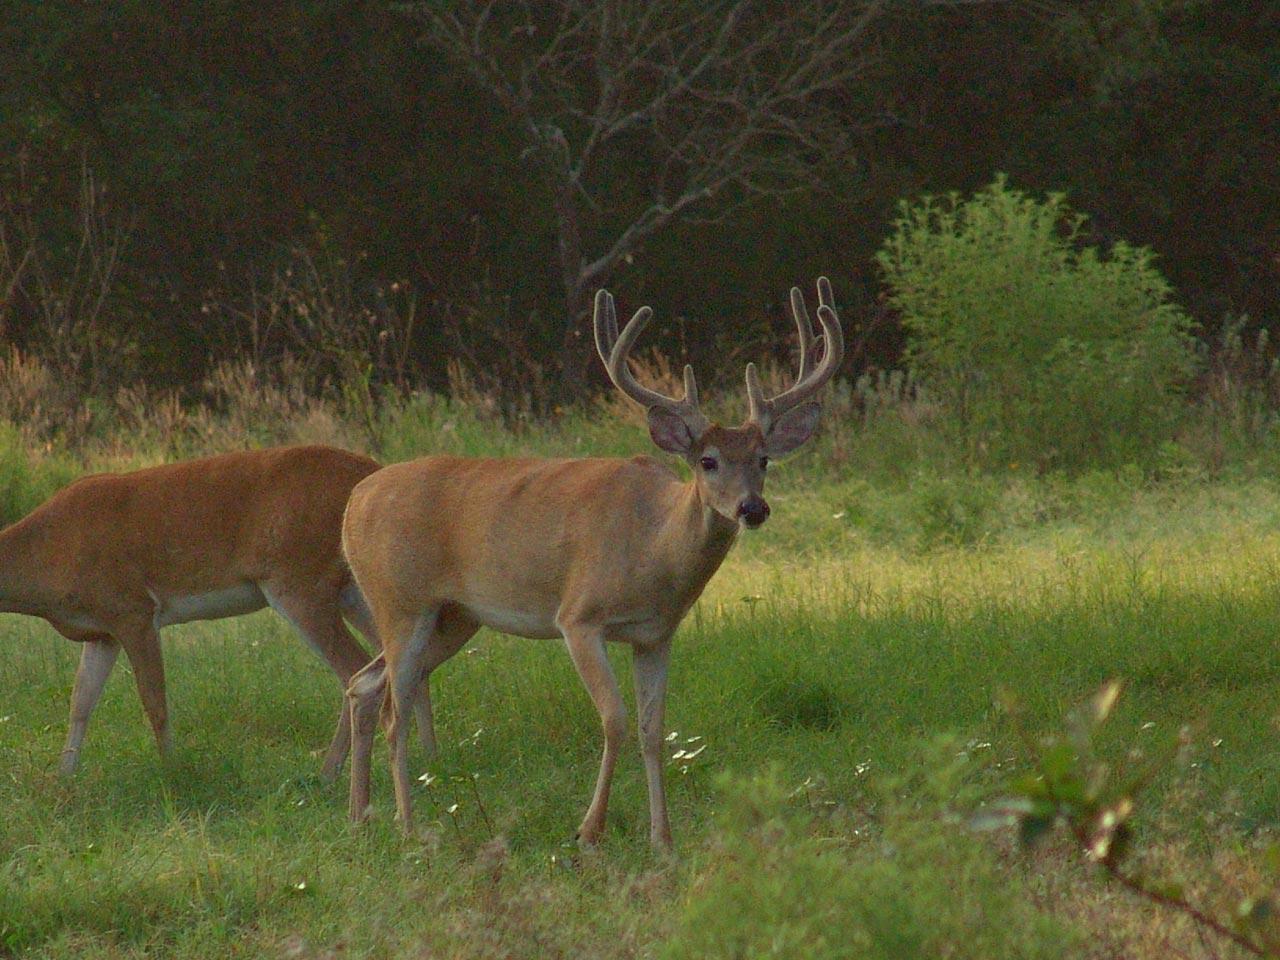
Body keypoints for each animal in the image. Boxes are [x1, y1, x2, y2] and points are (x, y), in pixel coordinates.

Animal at [0, 444, 432, 779]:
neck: (49, 548)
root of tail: (370, 473)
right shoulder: (103, 630)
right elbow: (80, 703)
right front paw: (64, 777)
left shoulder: (133, 608)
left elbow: (154, 700)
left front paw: (173, 771)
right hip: (357, 590)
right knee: (405, 659)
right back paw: (428, 758)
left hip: (300, 580)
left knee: (354, 667)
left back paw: (329, 773)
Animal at [342, 278, 843, 849]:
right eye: (707, 461)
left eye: (763, 460)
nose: (752, 508)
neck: (652, 549)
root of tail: (354, 501)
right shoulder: (578, 617)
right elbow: (614, 720)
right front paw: (589, 831)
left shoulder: (656, 635)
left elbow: (653, 730)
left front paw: (662, 838)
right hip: (399, 601)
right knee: (394, 710)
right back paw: (407, 826)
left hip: (454, 617)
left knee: (363, 684)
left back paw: (359, 816)